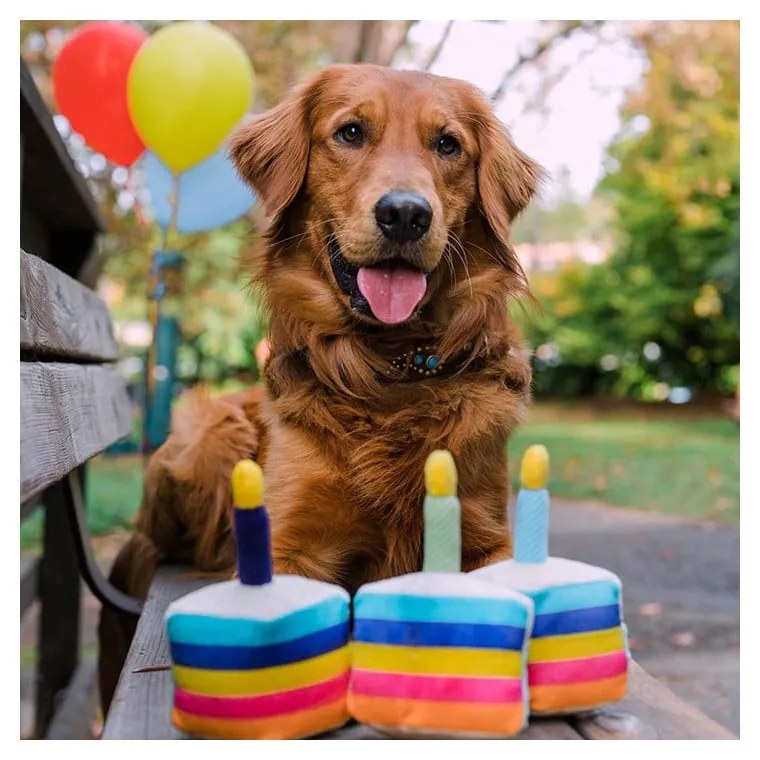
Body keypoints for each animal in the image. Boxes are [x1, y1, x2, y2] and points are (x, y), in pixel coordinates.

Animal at [99, 63, 540, 712]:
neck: (389, 371)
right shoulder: (289, 546)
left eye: (448, 145)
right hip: (210, 433)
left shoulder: (485, 536)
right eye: (351, 132)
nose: (405, 214)